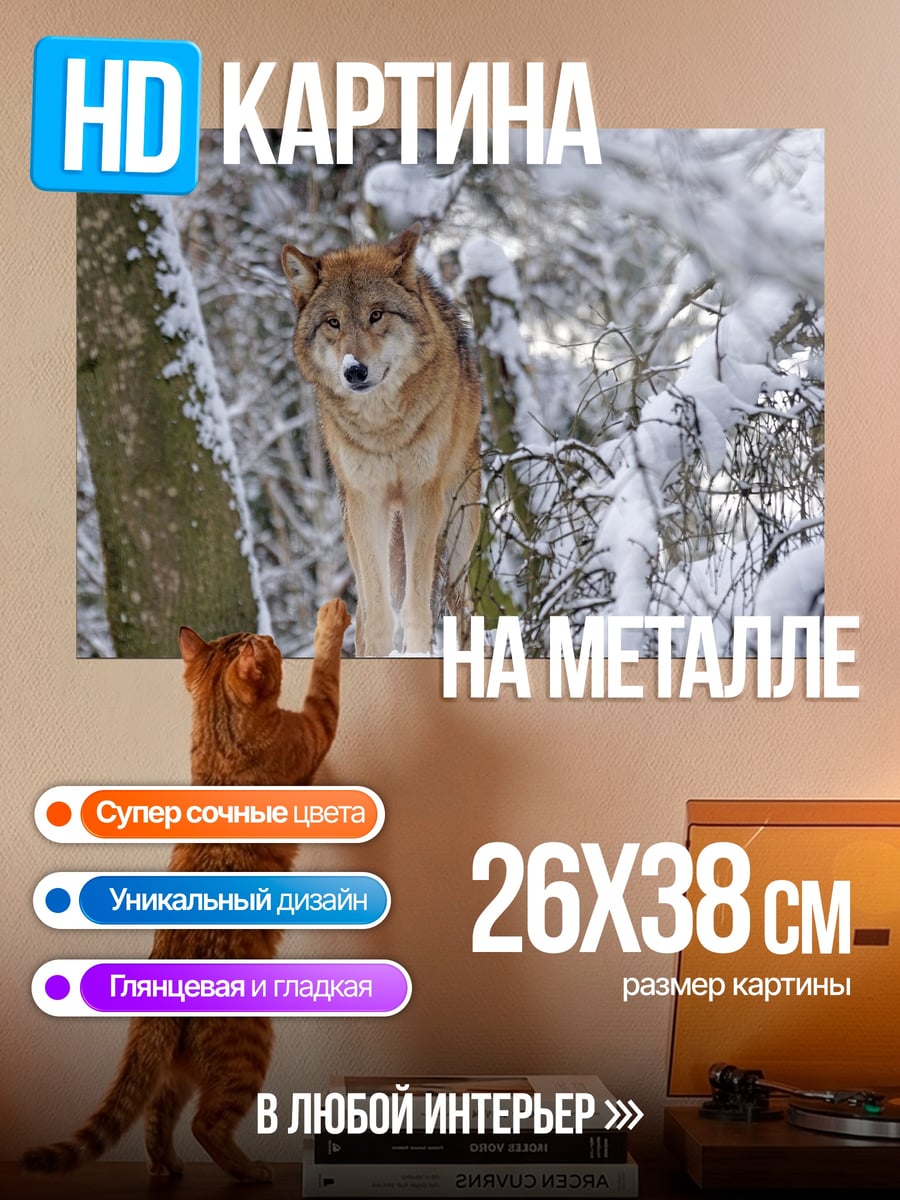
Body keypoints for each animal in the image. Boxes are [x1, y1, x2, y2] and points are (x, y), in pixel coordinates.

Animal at [281, 223, 482, 656]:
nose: (354, 371)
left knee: (462, 609)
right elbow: (377, 615)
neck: (383, 429)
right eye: (333, 322)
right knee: (362, 611)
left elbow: (416, 609)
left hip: (460, 530)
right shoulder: (367, 500)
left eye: (376, 315)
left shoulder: (422, 495)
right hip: (355, 532)